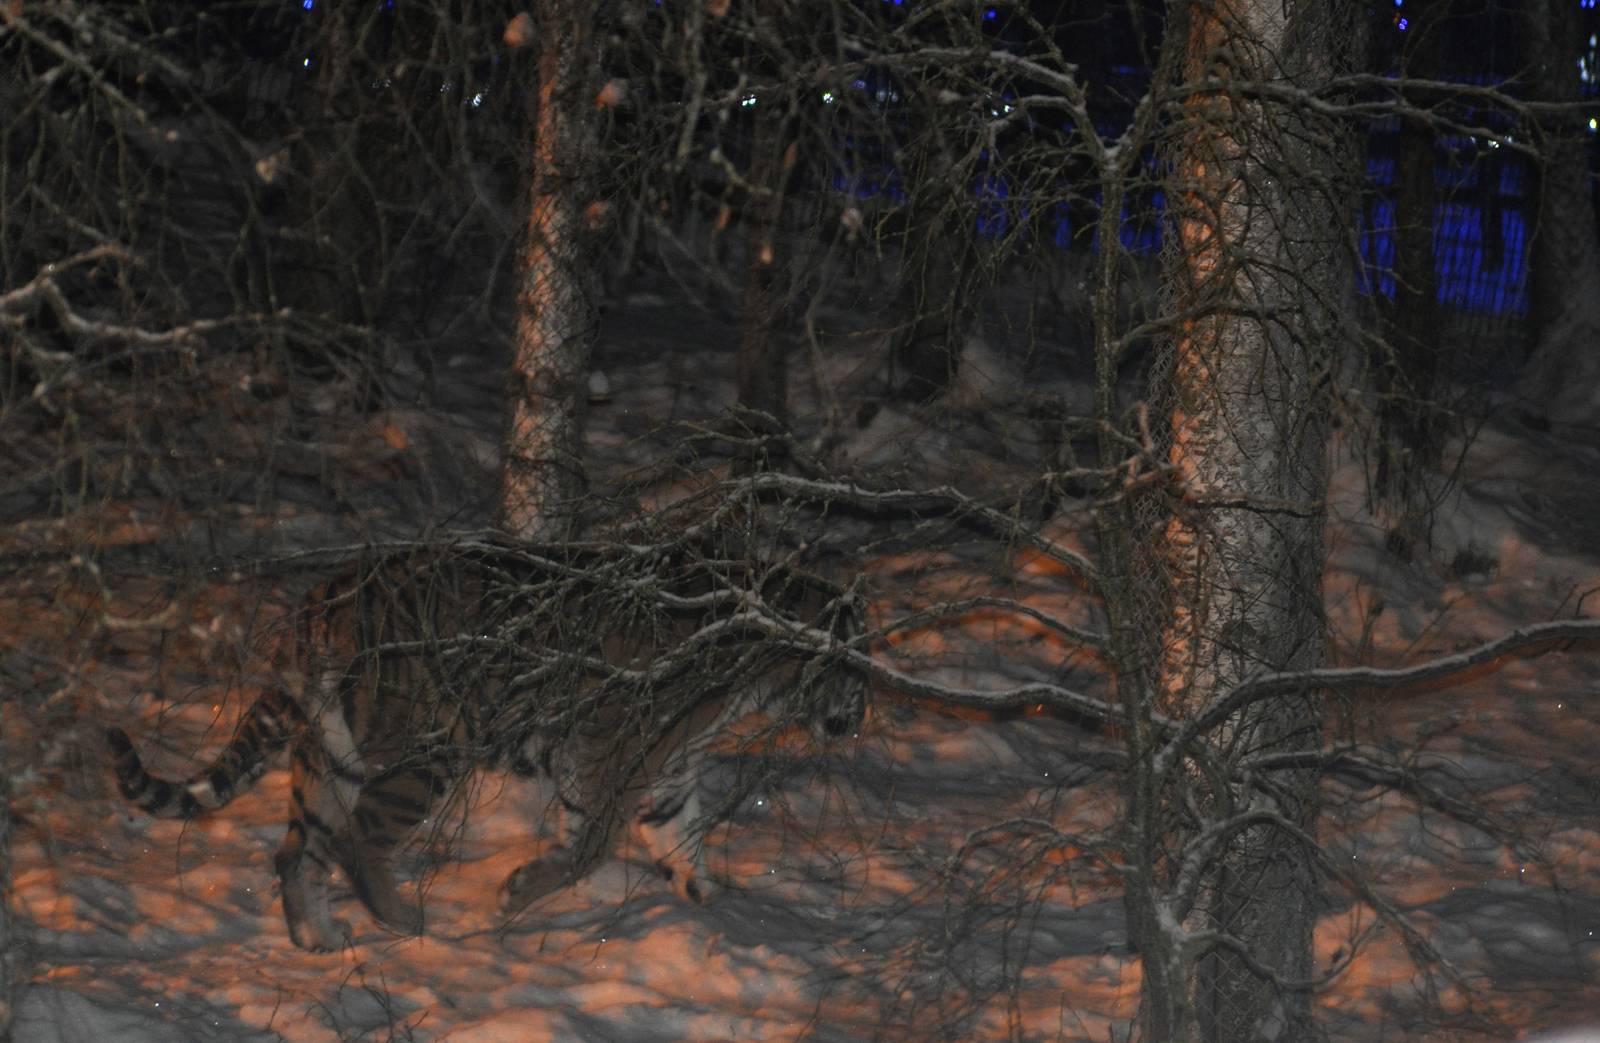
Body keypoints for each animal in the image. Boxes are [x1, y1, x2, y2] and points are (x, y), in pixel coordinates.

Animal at [107, 537, 867, 952]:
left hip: (330, 756)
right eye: (857, 662)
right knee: (357, 840)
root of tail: (316, 603)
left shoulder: (665, 776)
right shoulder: (610, 757)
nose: (861, 716)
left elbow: (683, 846)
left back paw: (318, 941)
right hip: (427, 752)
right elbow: (587, 851)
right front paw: (516, 893)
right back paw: (402, 919)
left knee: (297, 852)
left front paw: (725, 913)